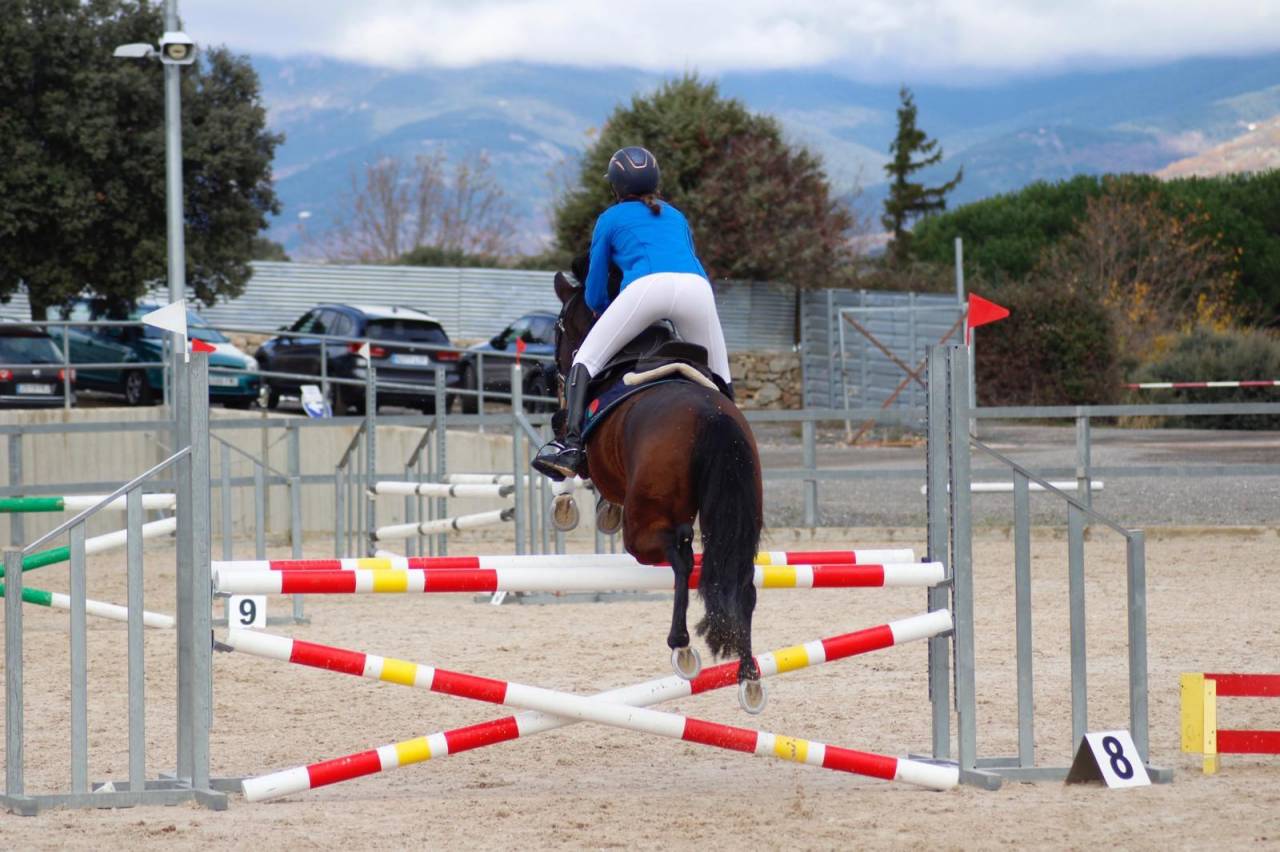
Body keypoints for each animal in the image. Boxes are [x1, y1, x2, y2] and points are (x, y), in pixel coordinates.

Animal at [549, 267, 767, 712]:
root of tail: (712, 416)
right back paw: (748, 676)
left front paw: (566, 494)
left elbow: (567, 444)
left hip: (646, 524)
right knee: (741, 582)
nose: (553, 376)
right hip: (738, 518)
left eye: (558, 327)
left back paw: (682, 647)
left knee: (679, 555)